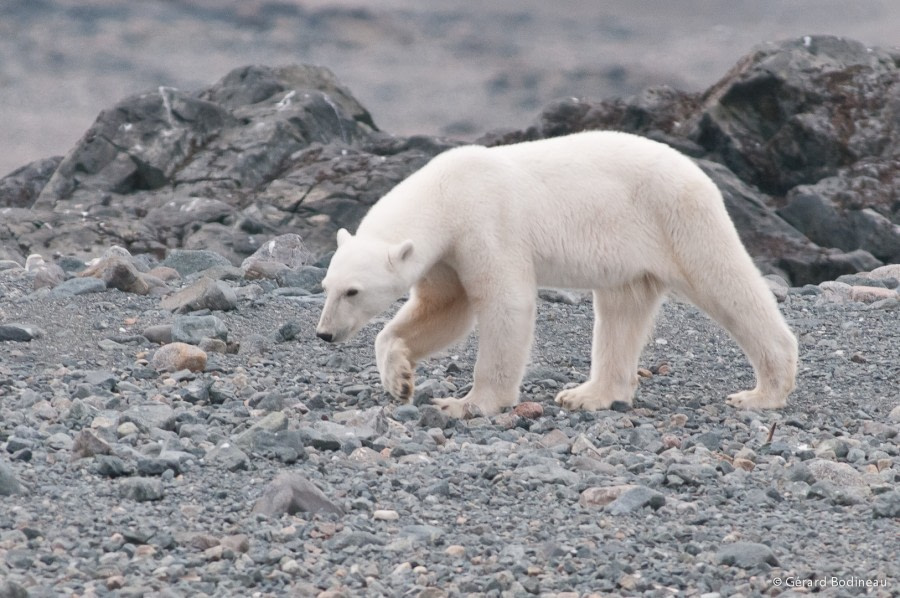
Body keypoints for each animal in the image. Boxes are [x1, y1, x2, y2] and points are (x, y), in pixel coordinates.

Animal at [314, 131, 796, 418]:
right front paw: (399, 380)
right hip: (628, 248)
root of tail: (696, 171)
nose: (324, 333)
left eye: (353, 291)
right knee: (622, 311)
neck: (447, 193)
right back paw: (588, 394)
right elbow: (445, 310)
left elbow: (504, 303)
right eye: (326, 287)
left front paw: (468, 403)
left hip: (676, 217)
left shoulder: (487, 224)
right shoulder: (446, 256)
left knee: (724, 283)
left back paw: (761, 393)